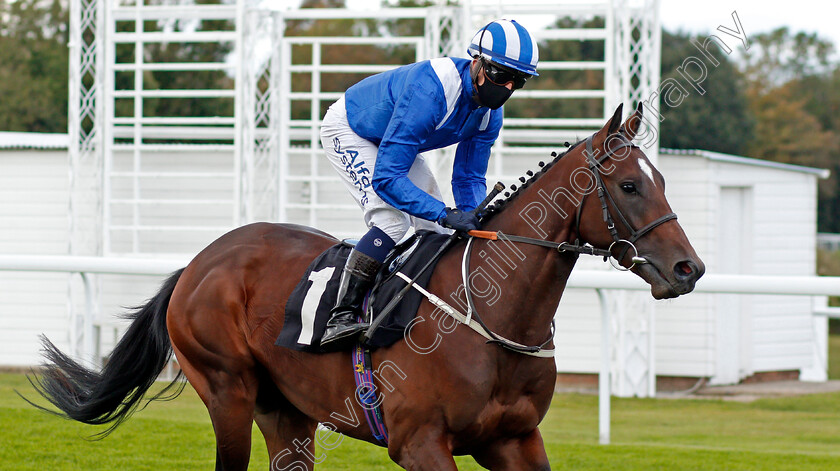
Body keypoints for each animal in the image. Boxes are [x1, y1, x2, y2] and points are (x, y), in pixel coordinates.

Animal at [31, 104, 704, 471]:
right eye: (628, 186)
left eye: (662, 179)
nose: (688, 270)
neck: (492, 316)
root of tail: (199, 263)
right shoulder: (420, 444)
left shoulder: (514, 439)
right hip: (227, 392)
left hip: (287, 413)